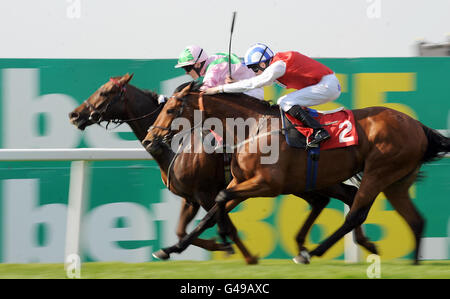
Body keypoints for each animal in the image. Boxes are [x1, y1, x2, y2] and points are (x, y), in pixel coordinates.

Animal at [145, 82, 450, 264]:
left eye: (170, 109)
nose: (149, 139)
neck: (252, 128)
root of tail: (417, 125)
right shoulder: (241, 183)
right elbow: (211, 212)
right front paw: (171, 249)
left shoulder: (265, 184)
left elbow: (218, 201)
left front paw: (225, 240)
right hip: (396, 181)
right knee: (415, 220)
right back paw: (413, 263)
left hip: (378, 172)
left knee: (355, 213)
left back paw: (311, 252)